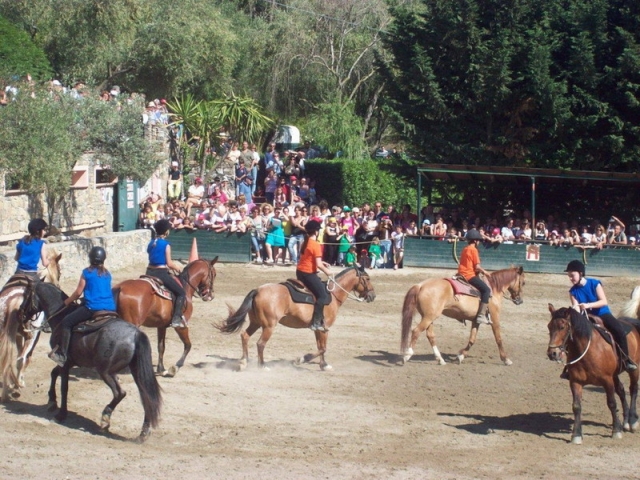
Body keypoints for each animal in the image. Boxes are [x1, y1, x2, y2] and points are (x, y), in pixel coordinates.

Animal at [0, 250, 62, 401]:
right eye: (59, 271)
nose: (58, 285)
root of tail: (14, 299)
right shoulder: (34, 335)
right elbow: (25, 358)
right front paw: (19, 382)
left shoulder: (16, 336)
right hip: (31, 335)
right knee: (20, 359)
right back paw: (14, 388)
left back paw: (6, 391)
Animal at [28, 282, 162, 442]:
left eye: (27, 295)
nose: (24, 315)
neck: (61, 316)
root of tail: (136, 334)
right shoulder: (70, 361)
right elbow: (53, 373)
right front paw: (52, 401)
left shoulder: (64, 362)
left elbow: (64, 387)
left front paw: (61, 414)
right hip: (136, 372)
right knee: (147, 397)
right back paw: (143, 433)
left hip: (106, 371)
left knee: (120, 393)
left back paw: (105, 419)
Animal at [216, 265, 376, 371]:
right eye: (367, 278)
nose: (372, 296)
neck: (332, 295)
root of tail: (258, 290)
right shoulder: (324, 328)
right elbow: (323, 348)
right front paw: (301, 359)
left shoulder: (318, 329)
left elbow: (321, 347)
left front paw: (323, 365)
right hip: (268, 326)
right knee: (260, 343)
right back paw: (262, 366)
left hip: (256, 323)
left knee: (245, 336)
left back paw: (244, 362)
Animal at [547, 305, 640, 444]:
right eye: (549, 326)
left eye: (562, 327)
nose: (552, 353)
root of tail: (632, 324)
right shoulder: (575, 381)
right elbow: (576, 406)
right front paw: (576, 435)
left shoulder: (607, 380)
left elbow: (612, 403)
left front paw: (616, 431)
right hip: (615, 375)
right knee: (622, 391)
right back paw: (625, 421)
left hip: (633, 369)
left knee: (633, 389)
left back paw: (633, 421)